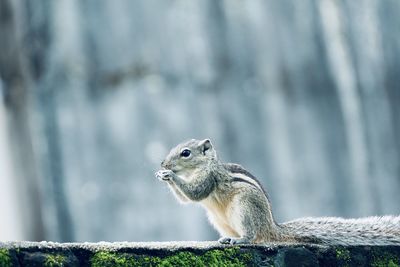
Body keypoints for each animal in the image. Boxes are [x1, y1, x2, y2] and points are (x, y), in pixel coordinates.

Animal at [155, 139, 400, 246]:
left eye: (185, 153)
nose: (163, 163)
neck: (202, 166)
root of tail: (271, 227)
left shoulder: (209, 177)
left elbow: (195, 194)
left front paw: (170, 175)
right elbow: (186, 199)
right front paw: (162, 174)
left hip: (244, 207)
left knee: (252, 236)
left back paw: (240, 240)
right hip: (218, 219)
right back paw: (226, 238)